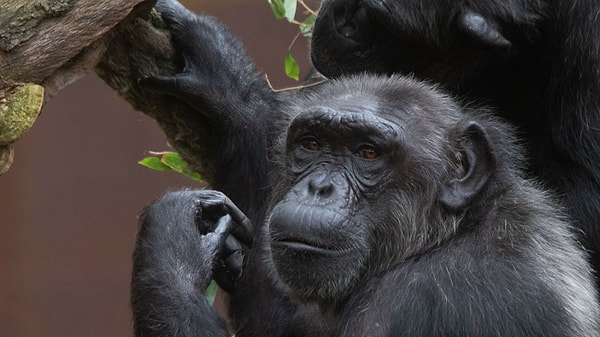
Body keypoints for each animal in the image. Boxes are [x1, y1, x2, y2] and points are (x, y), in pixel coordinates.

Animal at [135, 72, 600, 334]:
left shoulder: (436, 300)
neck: (443, 237)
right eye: (311, 144)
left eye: (368, 153)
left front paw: (172, 239)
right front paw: (232, 92)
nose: (319, 187)